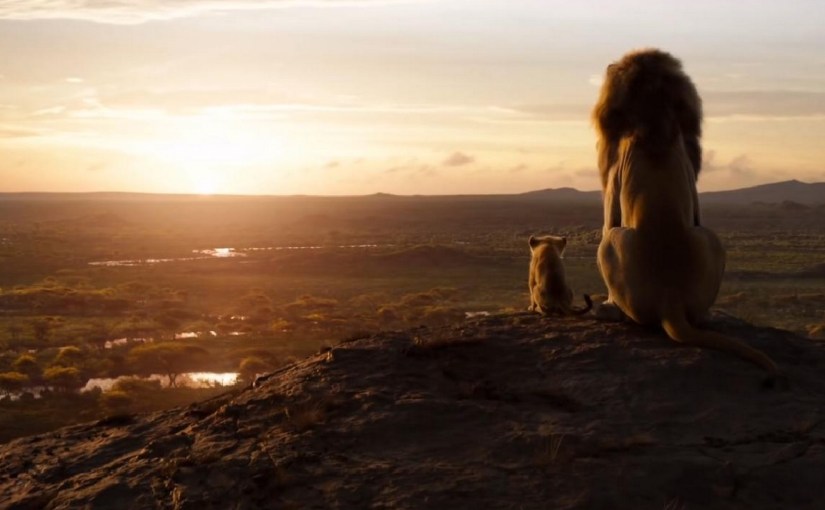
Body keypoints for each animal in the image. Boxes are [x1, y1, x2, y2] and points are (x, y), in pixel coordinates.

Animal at [592, 49, 780, 378]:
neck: (654, 114)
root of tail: (671, 300)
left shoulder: (613, 180)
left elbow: (607, 218)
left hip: (612, 243)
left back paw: (608, 310)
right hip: (711, 238)